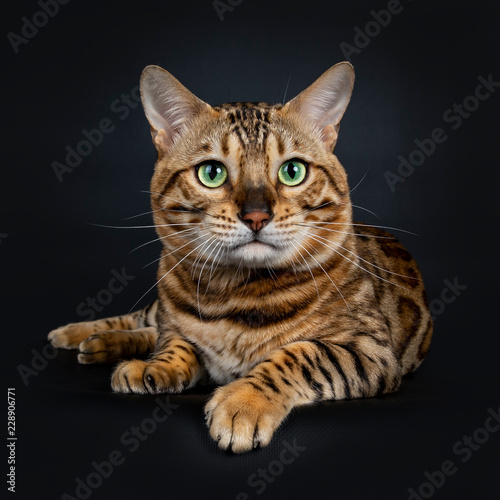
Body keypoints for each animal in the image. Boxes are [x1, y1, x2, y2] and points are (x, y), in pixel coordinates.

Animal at [49, 61, 434, 454]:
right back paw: (80, 334)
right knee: (147, 320)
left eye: (292, 171)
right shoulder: (181, 329)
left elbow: (299, 355)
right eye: (212, 173)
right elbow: (176, 342)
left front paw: (243, 402)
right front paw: (157, 366)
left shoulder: (370, 350)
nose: (256, 215)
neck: (234, 295)